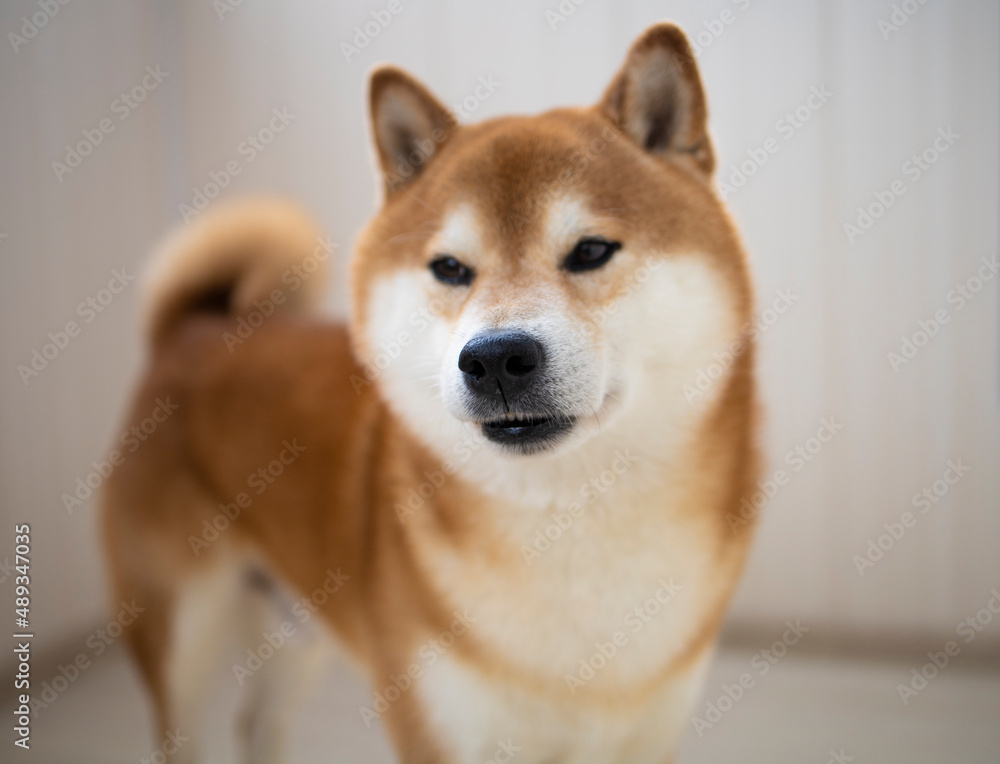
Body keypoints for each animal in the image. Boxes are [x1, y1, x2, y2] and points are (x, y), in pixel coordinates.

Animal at [103, 20, 756, 760]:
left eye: (590, 250)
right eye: (449, 268)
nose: (497, 359)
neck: (567, 526)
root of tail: (190, 332)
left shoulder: (647, 730)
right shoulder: (440, 727)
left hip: (296, 627)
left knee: (257, 725)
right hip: (180, 638)